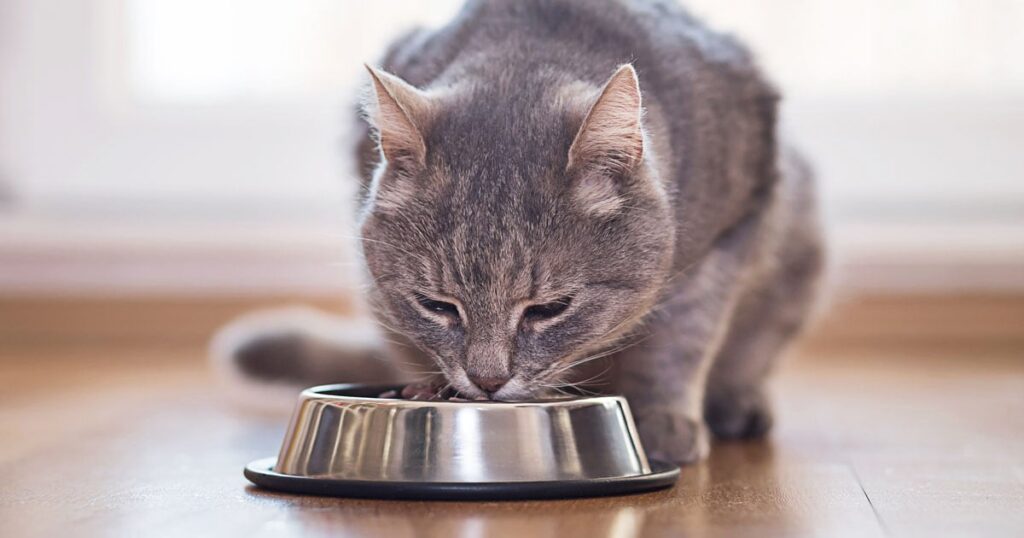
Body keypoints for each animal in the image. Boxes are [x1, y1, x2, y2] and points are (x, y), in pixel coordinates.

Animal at [211, 0, 827, 461]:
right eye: (437, 306)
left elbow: (684, 336)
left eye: (549, 309)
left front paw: (662, 419)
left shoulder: (731, 231)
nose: (486, 382)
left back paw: (736, 403)